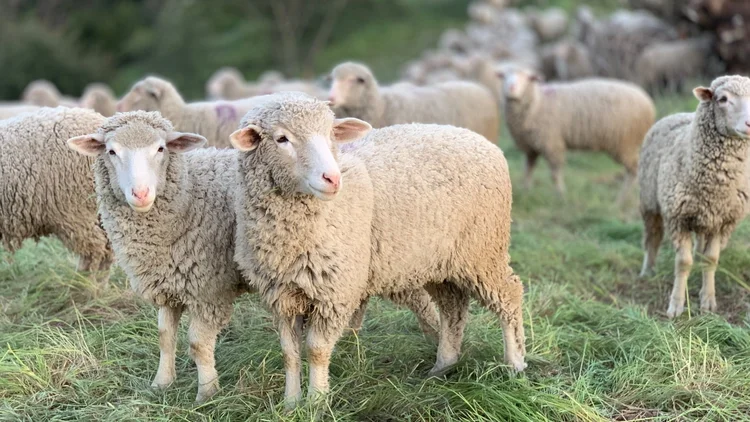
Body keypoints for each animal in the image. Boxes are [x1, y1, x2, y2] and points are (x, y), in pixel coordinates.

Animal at [66, 111, 250, 402]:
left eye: (161, 149)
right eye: (111, 151)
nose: (140, 194)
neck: (191, 195)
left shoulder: (209, 290)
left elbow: (198, 344)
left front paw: (207, 393)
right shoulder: (167, 282)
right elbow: (164, 336)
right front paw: (162, 383)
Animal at [231, 92, 525, 408]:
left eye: (331, 134)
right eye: (282, 139)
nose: (332, 178)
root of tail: (482, 141)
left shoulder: (335, 292)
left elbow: (316, 350)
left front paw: (317, 402)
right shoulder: (281, 295)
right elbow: (289, 353)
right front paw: (290, 403)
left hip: (483, 250)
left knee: (509, 295)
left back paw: (515, 364)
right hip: (440, 260)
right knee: (453, 308)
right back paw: (443, 365)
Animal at [498, 65, 655, 202]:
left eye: (528, 78)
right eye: (504, 76)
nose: (511, 88)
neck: (537, 103)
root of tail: (648, 102)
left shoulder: (552, 143)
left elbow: (555, 174)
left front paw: (560, 195)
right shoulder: (531, 147)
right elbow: (528, 170)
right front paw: (526, 192)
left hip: (625, 143)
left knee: (633, 170)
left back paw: (621, 199)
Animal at [638, 75, 750, 318]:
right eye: (722, 99)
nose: (749, 124)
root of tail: (678, 113)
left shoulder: (722, 220)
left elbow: (711, 259)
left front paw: (708, 301)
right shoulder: (677, 217)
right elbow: (683, 262)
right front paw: (676, 305)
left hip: (704, 218)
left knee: (700, 247)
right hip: (649, 202)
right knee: (652, 238)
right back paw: (647, 271)